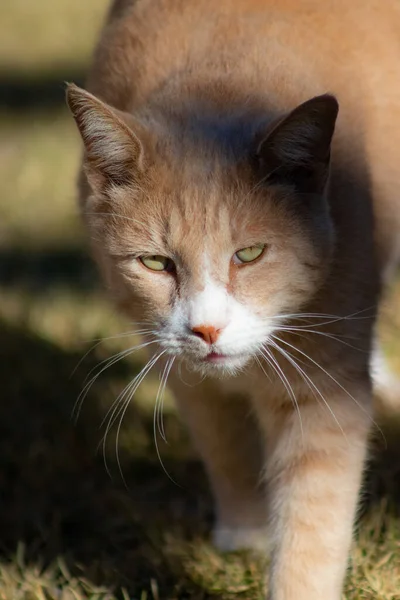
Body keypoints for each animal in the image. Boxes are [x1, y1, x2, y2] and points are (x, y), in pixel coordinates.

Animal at [65, 2, 400, 596]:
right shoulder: (176, 359)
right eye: (156, 263)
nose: (208, 330)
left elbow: (313, 517)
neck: (222, 82)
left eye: (250, 253)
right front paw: (245, 535)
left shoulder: (327, 387)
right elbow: (222, 441)